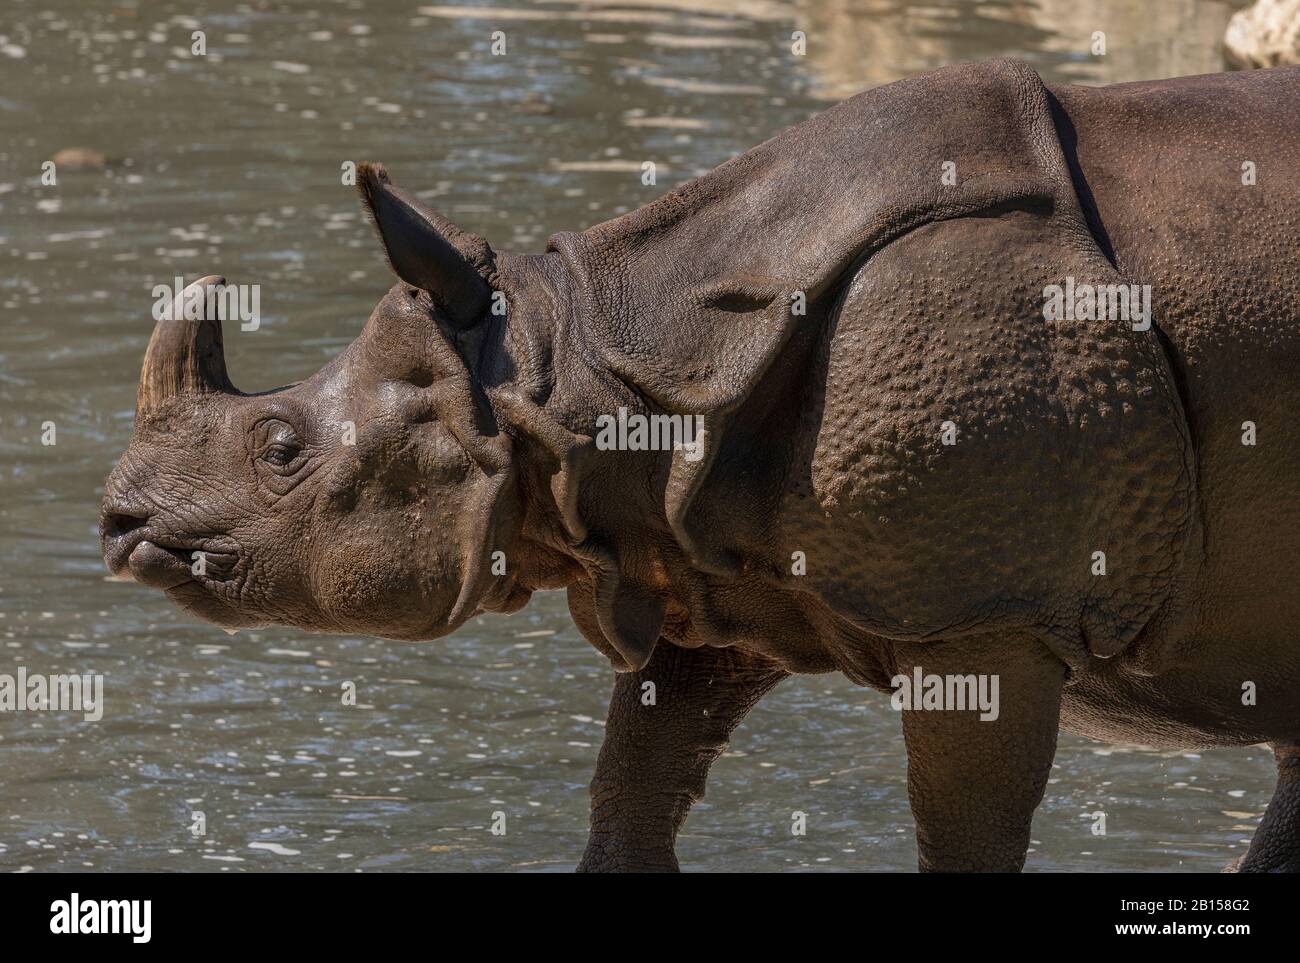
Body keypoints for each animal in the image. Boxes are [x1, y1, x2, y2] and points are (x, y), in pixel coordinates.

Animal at [100, 59, 1300, 872]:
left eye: (281, 449)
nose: (118, 526)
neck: (574, 366)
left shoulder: (983, 614)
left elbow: (965, 834)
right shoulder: (697, 563)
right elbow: (631, 790)